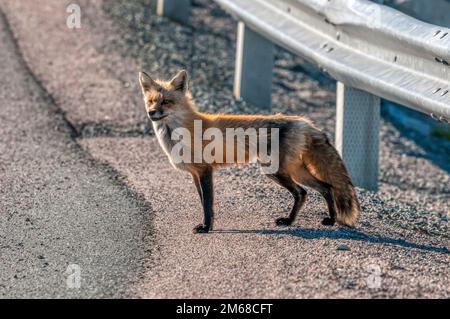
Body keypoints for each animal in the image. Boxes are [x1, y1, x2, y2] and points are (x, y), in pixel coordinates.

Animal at [139, 70, 360, 234]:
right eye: (150, 101)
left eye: (166, 101)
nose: (151, 113)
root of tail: (303, 121)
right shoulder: (195, 174)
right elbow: (204, 201)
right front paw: (208, 225)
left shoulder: (205, 170)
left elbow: (208, 204)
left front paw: (206, 227)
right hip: (295, 171)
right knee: (325, 188)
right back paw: (324, 220)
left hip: (276, 171)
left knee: (303, 192)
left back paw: (293, 221)